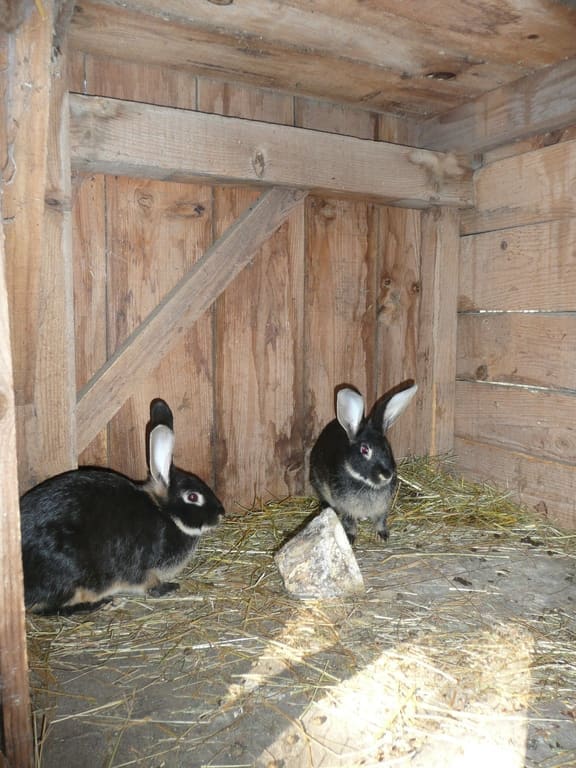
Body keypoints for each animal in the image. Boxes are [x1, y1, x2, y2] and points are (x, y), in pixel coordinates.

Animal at [20, 398, 225, 614]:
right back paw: (101, 604)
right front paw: (168, 588)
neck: (165, 514)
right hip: (71, 573)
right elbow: (148, 583)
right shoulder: (142, 567)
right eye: (193, 497)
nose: (221, 513)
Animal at [309, 382, 417, 545]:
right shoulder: (346, 508)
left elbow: (380, 521)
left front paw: (383, 535)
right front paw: (350, 538)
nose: (387, 474)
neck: (367, 484)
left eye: (387, 447)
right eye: (365, 449)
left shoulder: (382, 508)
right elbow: (349, 523)